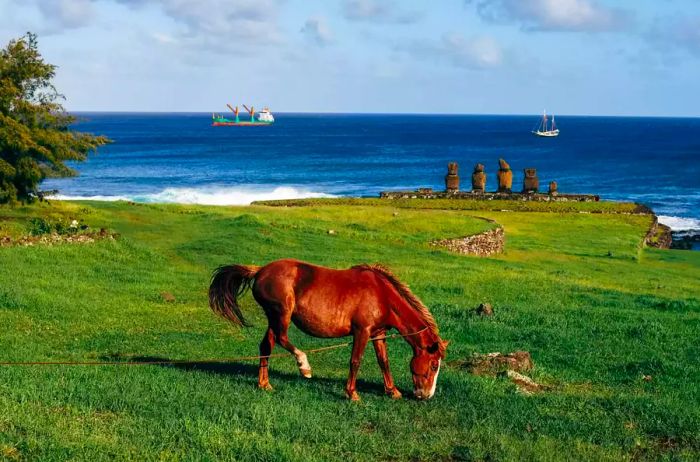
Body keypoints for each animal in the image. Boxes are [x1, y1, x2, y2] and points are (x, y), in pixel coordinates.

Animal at [208, 258, 448, 398]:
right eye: (434, 365)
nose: (426, 395)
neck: (382, 294)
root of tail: (259, 271)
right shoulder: (362, 332)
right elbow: (355, 361)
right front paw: (352, 394)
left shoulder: (378, 333)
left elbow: (383, 362)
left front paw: (393, 391)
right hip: (281, 314)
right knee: (283, 338)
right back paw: (304, 366)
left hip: (273, 317)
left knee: (267, 345)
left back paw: (264, 384)